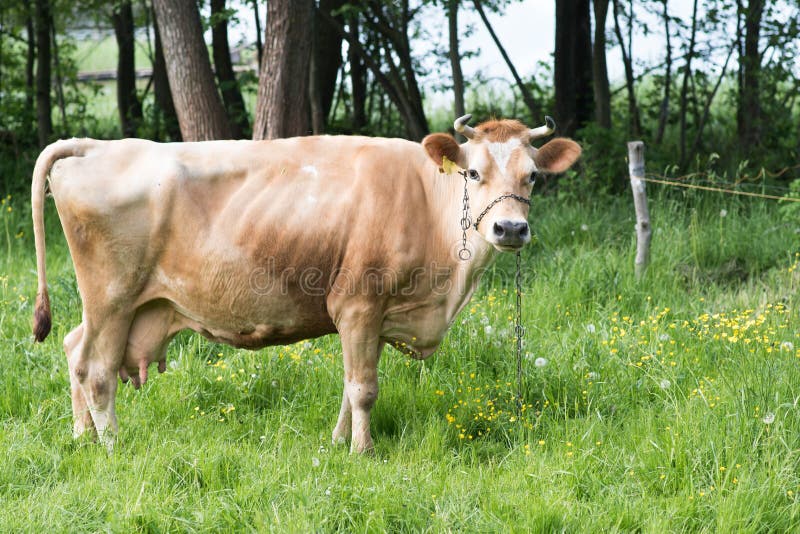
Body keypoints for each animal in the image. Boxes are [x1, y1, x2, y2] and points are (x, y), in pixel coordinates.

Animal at [31, 114, 581, 453]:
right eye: (473, 173)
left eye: (533, 175)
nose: (509, 228)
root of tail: (97, 147)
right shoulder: (358, 304)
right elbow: (363, 388)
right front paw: (363, 451)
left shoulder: (373, 318)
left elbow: (349, 386)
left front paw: (338, 443)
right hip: (111, 297)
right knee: (95, 369)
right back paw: (112, 445)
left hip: (120, 307)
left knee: (73, 347)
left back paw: (82, 438)